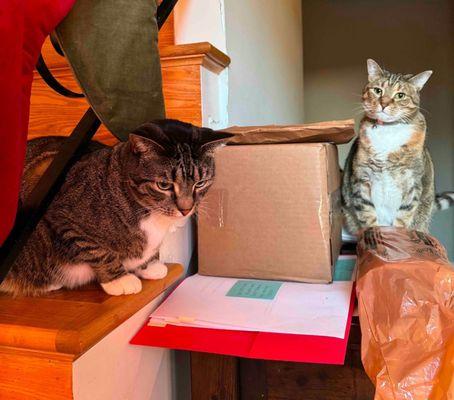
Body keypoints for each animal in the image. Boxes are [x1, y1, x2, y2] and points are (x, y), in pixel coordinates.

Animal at [0, 119, 232, 296]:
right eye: (164, 185)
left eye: (200, 183)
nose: (186, 209)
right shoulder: (62, 214)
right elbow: (97, 251)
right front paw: (119, 280)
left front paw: (150, 266)